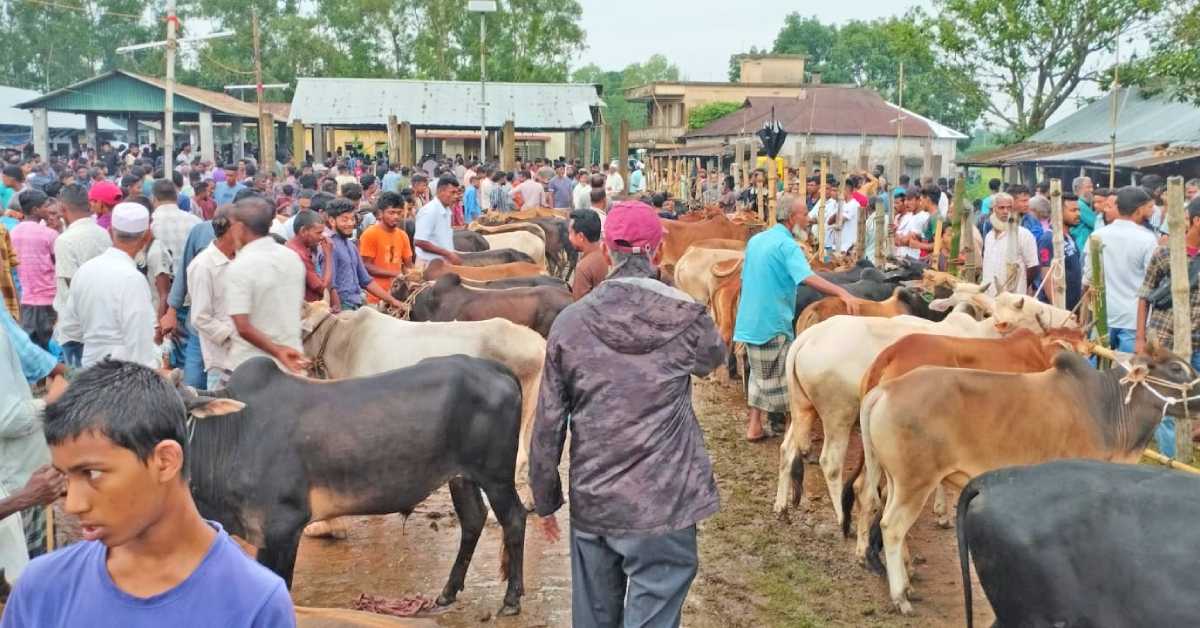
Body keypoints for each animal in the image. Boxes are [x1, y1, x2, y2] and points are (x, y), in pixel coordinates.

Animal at [181, 355, 525, 614]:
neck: (234, 432)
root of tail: (494, 367)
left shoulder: (284, 527)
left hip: (495, 475)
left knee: (514, 519)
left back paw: (511, 599)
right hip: (461, 477)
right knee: (473, 520)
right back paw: (448, 592)